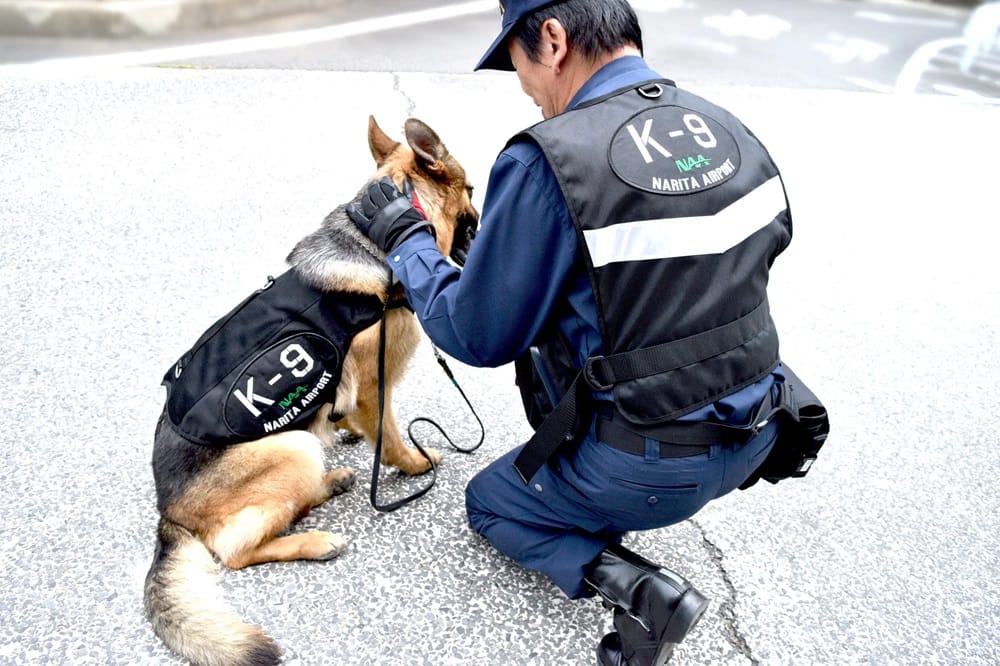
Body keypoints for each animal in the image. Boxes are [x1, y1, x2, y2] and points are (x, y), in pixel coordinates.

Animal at [144, 116, 480, 660]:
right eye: (470, 189)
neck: (379, 237)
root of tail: (167, 511)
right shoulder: (375, 387)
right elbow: (391, 437)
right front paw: (413, 464)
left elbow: (361, 425)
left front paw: (348, 432)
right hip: (292, 448)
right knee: (236, 552)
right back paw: (317, 540)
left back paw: (333, 480)